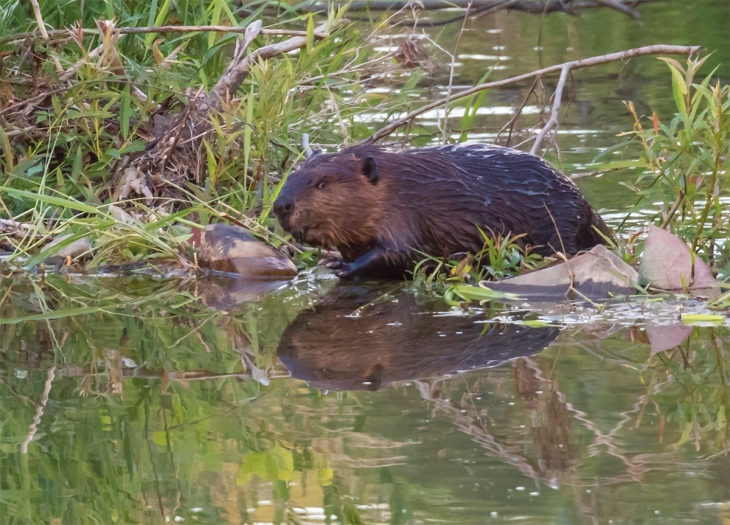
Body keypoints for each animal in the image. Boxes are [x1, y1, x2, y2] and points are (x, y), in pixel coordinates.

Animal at [272, 141, 608, 276]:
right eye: (294, 174)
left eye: (322, 183)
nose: (280, 205)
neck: (397, 185)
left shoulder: (405, 215)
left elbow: (399, 252)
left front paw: (339, 265)